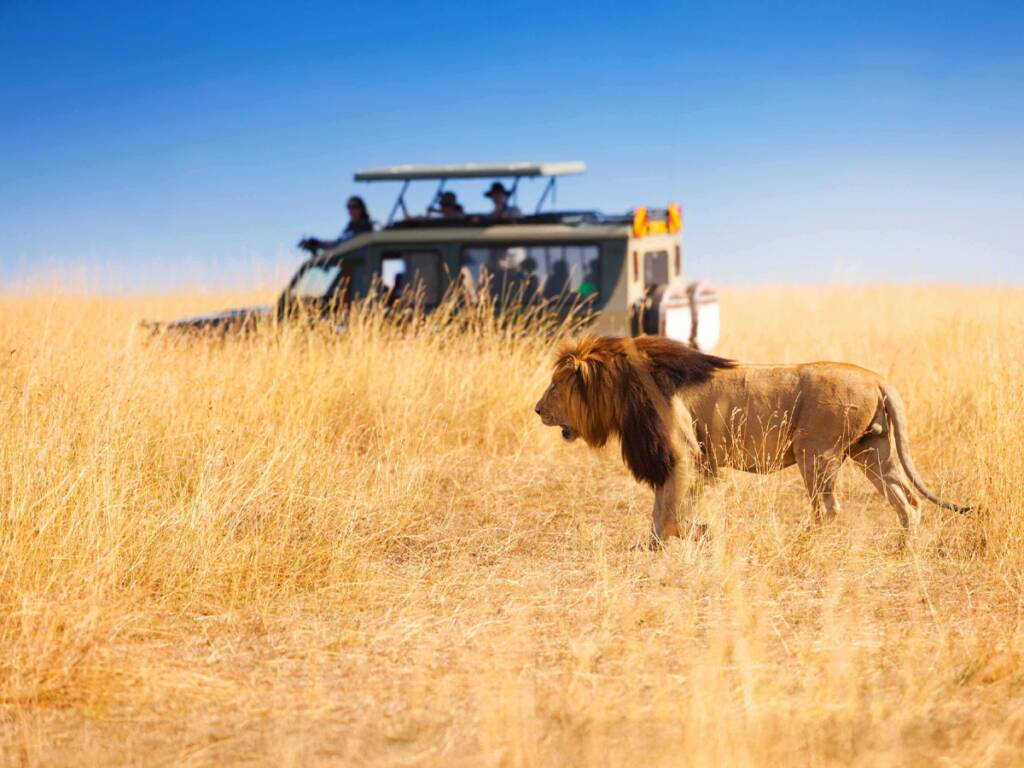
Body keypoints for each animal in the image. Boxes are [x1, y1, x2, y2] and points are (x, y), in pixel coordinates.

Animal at [534, 334, 970, 545]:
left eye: (555, 385)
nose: (537, 409)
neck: (623, 387)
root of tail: (877, 378)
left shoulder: (682, 453)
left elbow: (672, 514)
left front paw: (701, 534)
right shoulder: (672, 458)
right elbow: (660, 512)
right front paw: (653, 546)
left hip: (816, 452)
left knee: (828, 509)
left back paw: (799, 545)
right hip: (873, 452)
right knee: (908, 501)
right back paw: (904, 550)